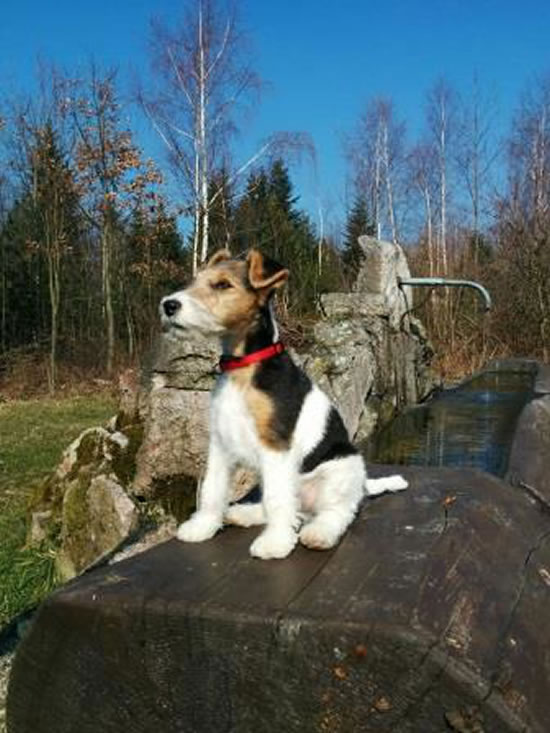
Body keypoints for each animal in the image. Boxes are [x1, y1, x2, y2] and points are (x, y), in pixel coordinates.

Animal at [160, 249, 407, 559]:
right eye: (195, 280)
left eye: (222, 285)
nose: (168, 305)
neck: (244, 367)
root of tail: (362, 484)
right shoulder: (220, 443)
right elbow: (212, 490)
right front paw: (202, 526)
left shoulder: (274, 445)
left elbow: (277, 500)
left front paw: (275, 543)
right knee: (293, 510)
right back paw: (243, 513)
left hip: (339, 470)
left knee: (335, 512)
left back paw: (319, 533)